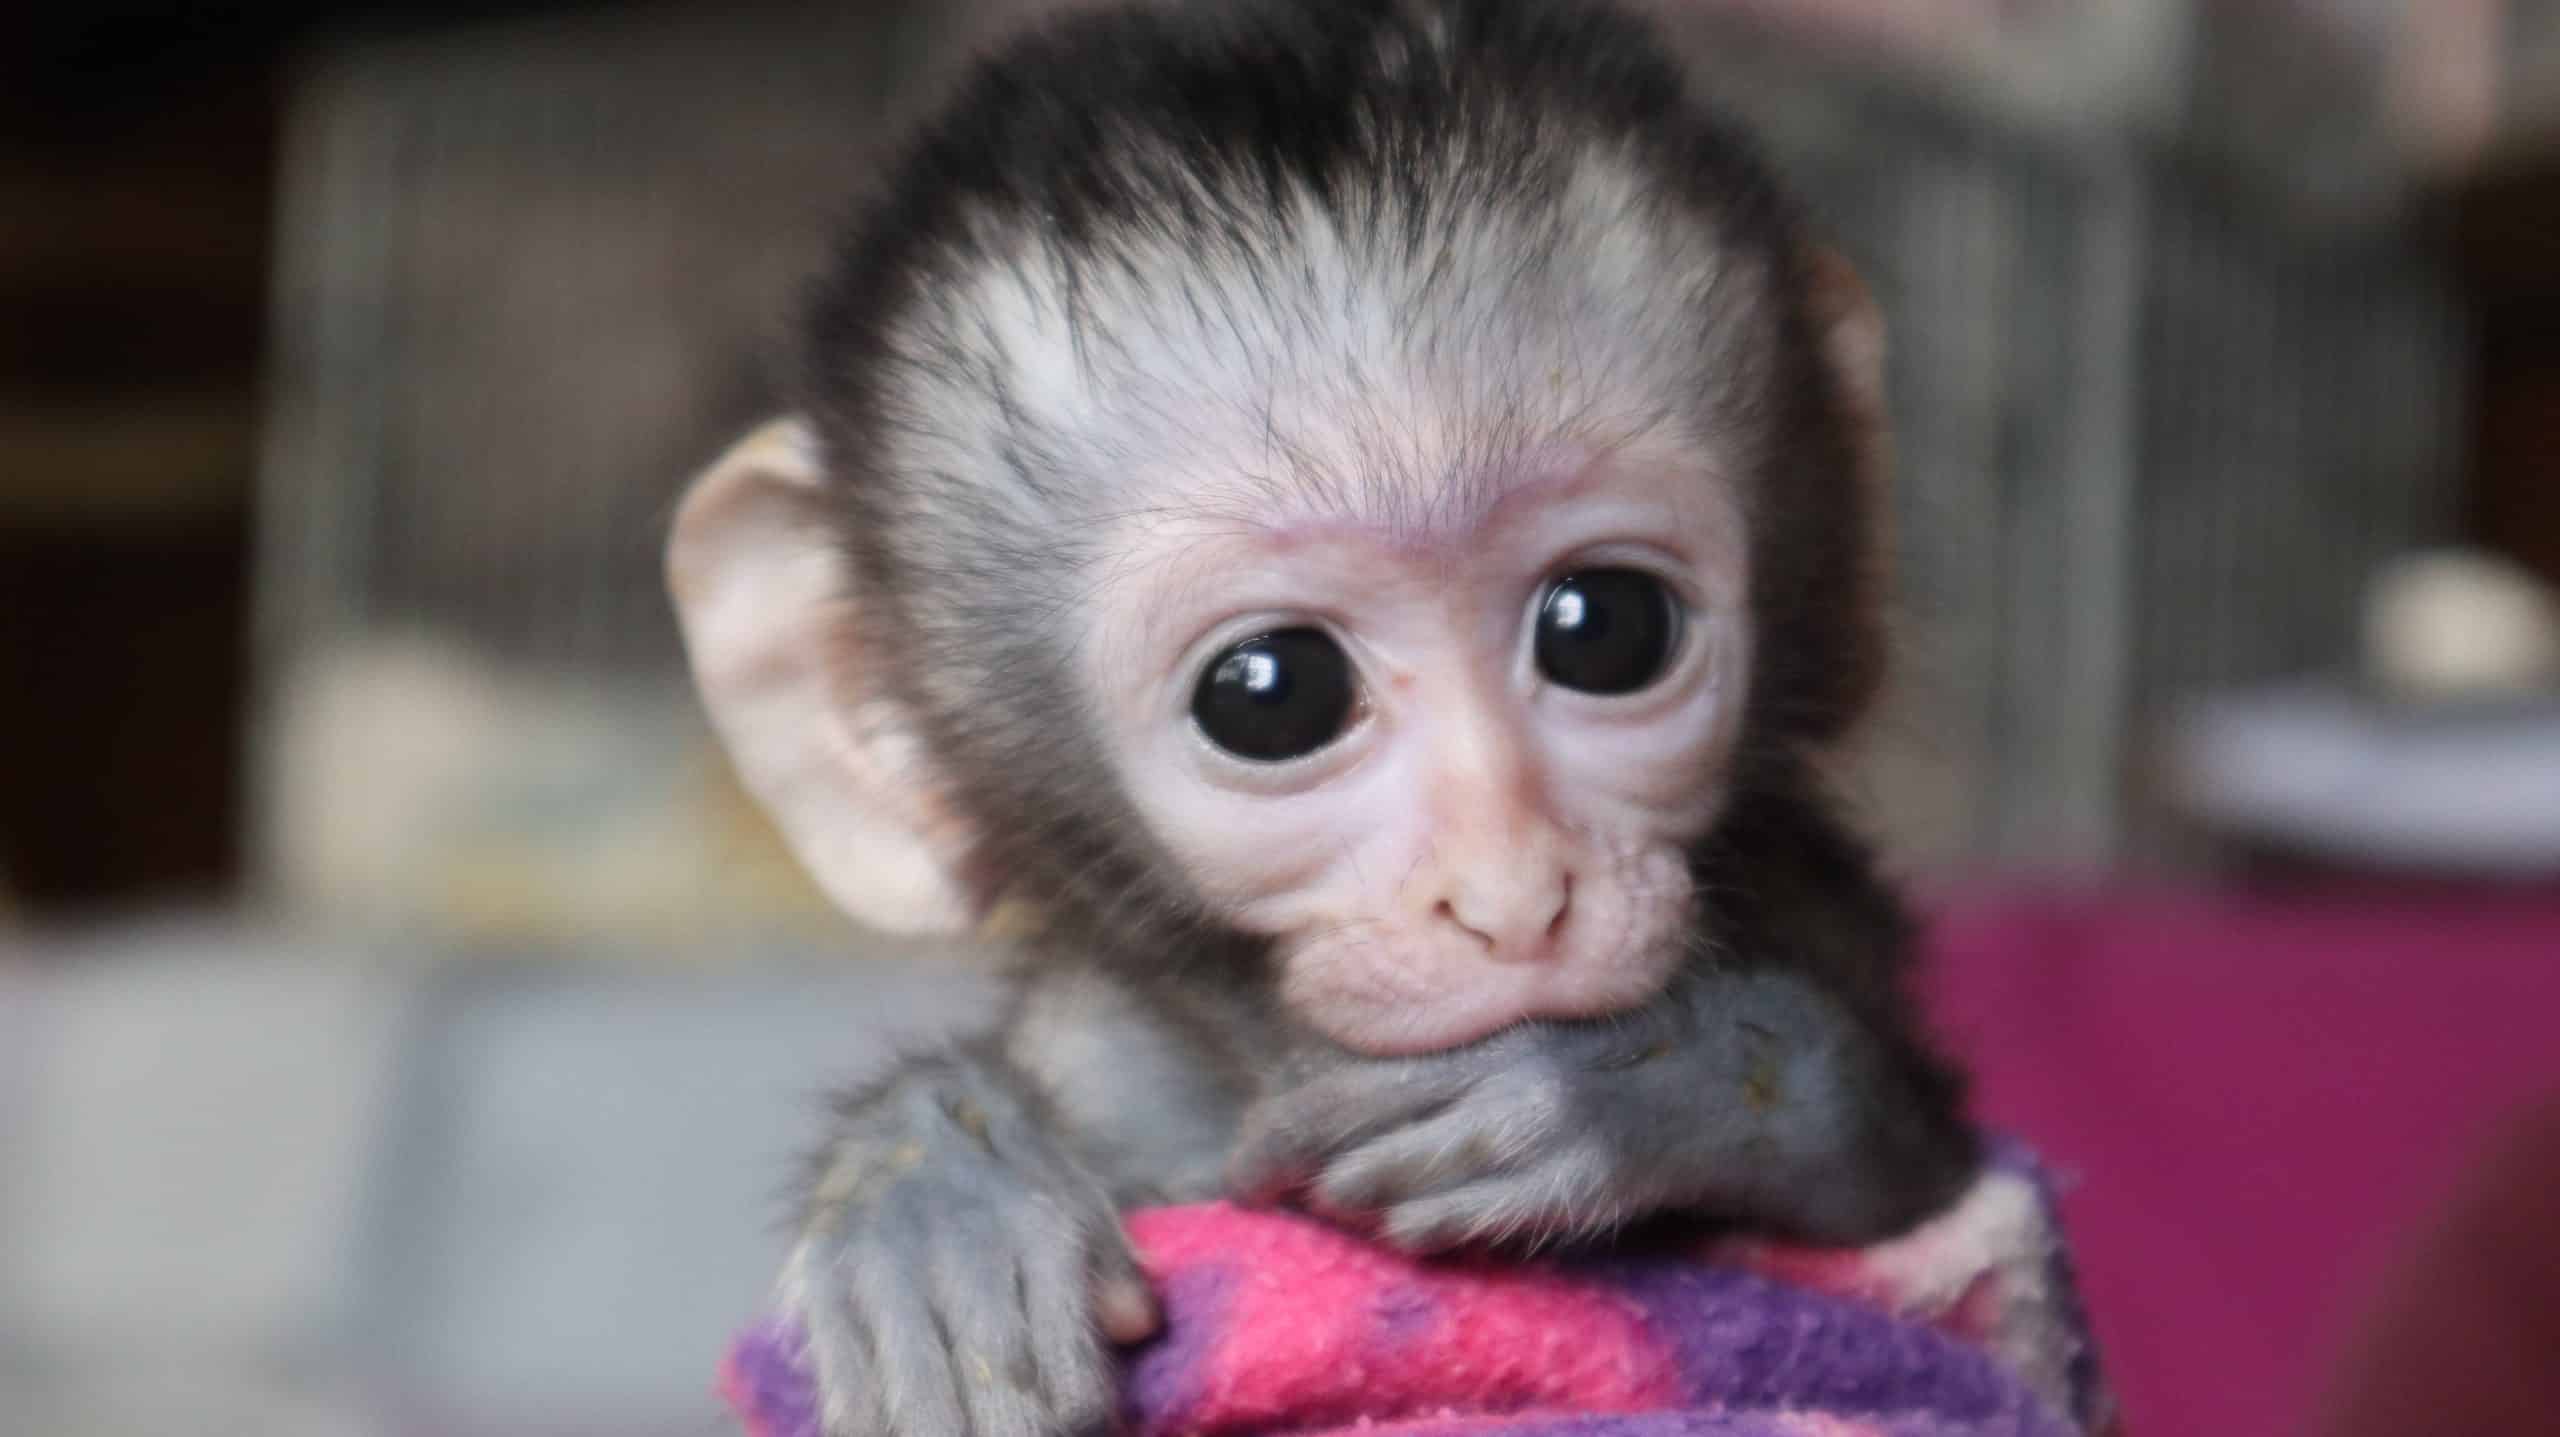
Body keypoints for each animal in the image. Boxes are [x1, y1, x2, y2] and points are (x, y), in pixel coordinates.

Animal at [664, 2, 1980, 1434]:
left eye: (1606, 626)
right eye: (1272, 693)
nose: (1513, 895)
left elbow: (1921, 1179)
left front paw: (1628, 1083)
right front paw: (935, 1200)